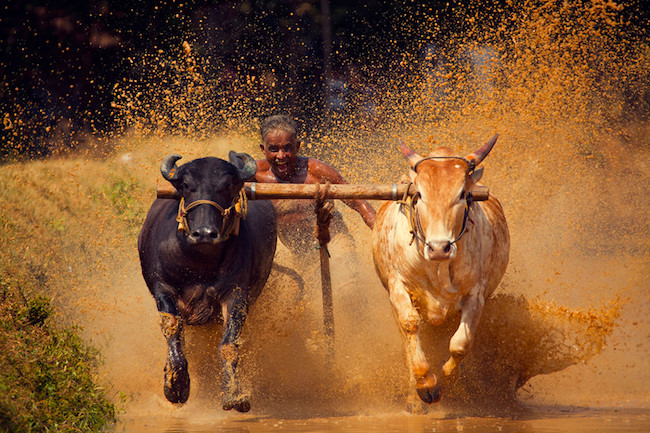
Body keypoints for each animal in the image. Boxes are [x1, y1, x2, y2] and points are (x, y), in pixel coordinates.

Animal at [138, 152, 274, 412]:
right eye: (186, 185)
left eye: (227, 185)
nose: (204, 234)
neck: (199, 261)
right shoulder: (163, 288)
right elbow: (173, 330)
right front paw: (176, 386)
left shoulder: (236, 294)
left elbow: (229, 345)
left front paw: (234, 394)